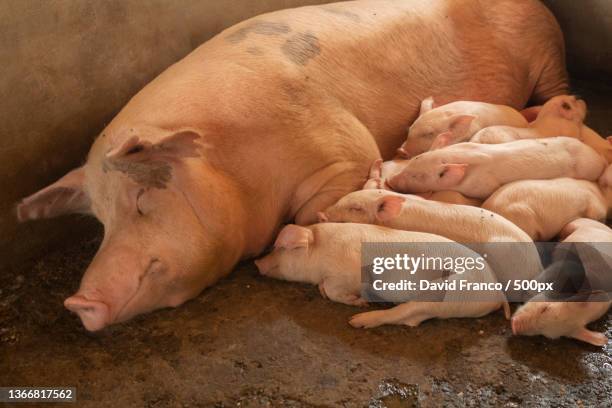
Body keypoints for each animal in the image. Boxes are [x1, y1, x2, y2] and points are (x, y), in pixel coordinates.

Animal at [253, 222, 506, 324]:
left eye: (282, 247)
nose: (257, 263)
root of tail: (496, 293)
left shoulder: (349, 271)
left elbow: (336, 290)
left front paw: (358, 301)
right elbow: (325, 288)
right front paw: (323, 291)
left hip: (448, 294)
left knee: (407, 316)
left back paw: (357, 320)